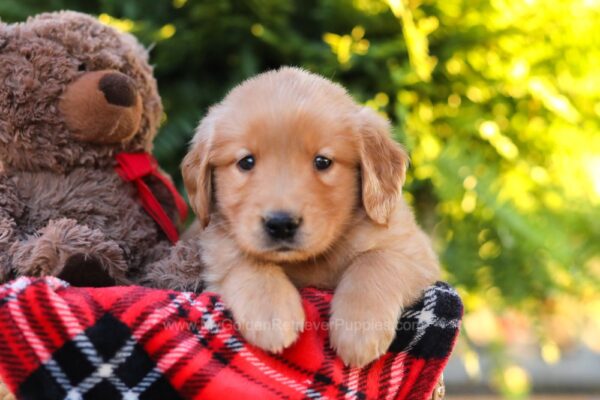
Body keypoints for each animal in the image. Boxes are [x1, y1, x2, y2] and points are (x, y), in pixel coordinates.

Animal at [180, 67, 438, 368]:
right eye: (246, 162)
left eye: (322, 162)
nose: (281, 224)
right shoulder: (215, 243)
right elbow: (243, 259)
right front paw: (271, 313)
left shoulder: (417, 254)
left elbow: (376, 259)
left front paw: (359, 329)